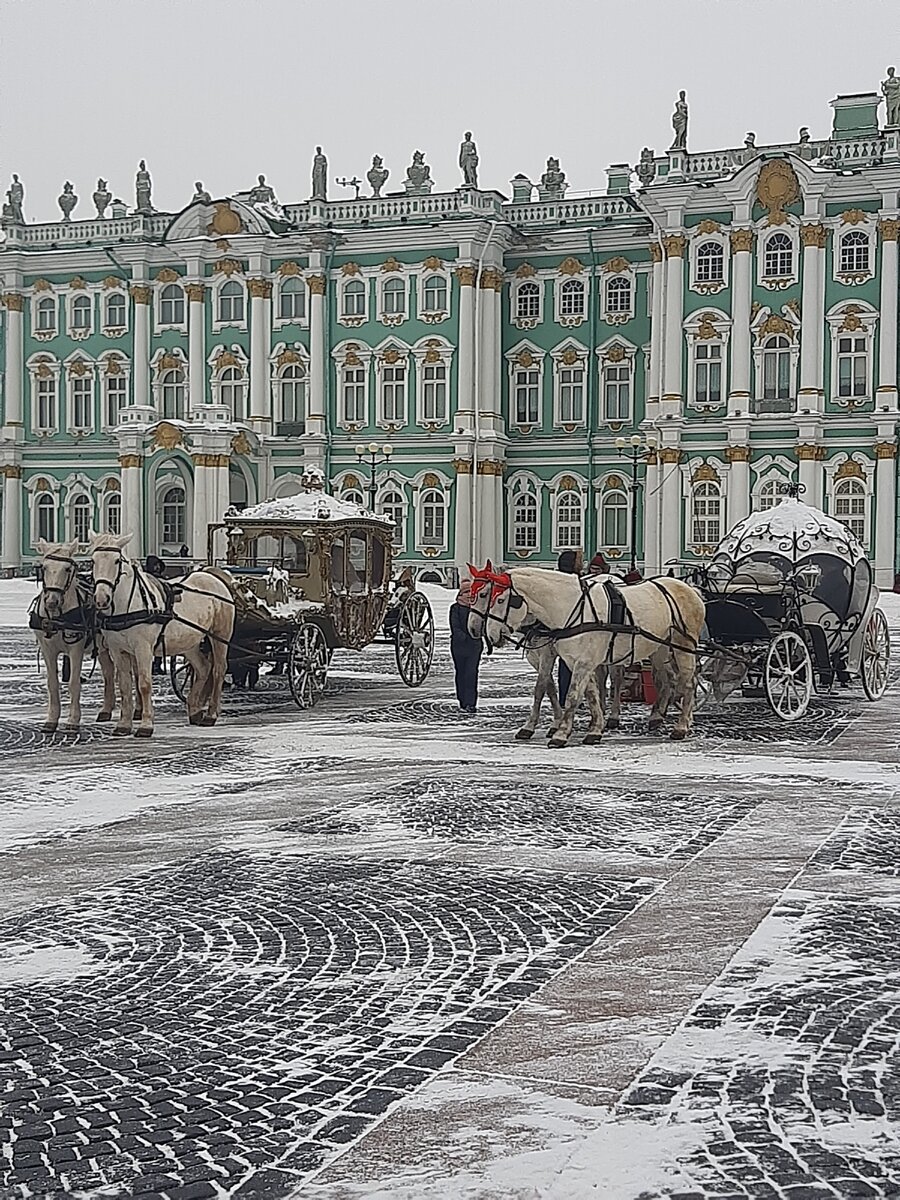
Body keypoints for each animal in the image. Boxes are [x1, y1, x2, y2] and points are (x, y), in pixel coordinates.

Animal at [31, 542, 117, 729]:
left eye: (67, 568)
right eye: (44, 567)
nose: (52, 601)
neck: (57, 617)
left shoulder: (75, 649)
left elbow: (73, 683)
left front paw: (73, 720)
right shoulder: (47, 649)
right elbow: (52, 683)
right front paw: (51, 719)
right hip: (103, 649)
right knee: (109, 673)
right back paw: (106, 710)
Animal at [88, 532, 232, 734]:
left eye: (117, 561)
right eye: (93, 561)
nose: (102, 599)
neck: (127, 607)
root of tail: (212, 575)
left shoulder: (143, 649)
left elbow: (144, 684)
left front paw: (146, 725)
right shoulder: (118, 651)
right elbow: (124, 686)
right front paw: (123, 725)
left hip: (220, 637)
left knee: (218, 670)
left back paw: (211, 714)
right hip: (189, 642)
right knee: (203, 668)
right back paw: (194, 710)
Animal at [468, 566, 710, 744]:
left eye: (497, 599)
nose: (484, 632)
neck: (568, 608)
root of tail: (690, 588)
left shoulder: (578, 661)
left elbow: (570, 694)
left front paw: (560, 733)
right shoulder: (575, 660)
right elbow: (586, 693)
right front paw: (594, 729)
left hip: (683, 646)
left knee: (688, 682)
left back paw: (681, 725)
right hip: (659, 649)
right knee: (667, 680)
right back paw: (659, 716)